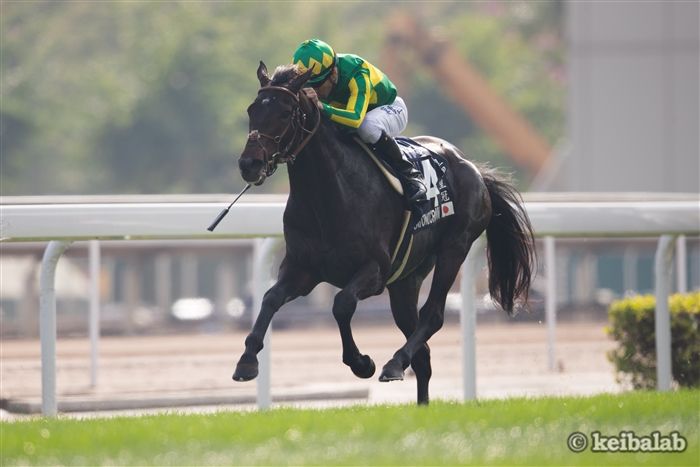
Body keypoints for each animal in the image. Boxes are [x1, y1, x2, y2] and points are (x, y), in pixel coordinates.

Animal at [233, 61, 535, 405]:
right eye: (252, 109)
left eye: (285, 113)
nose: (249, 164)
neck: (329, 196)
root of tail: (472, 167)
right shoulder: (302, 268)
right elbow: (270, 299)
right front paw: (246, 361)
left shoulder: (374, 270)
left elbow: (342, 304)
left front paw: (361, 363)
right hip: (406, 279)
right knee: (423, 354)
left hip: (454, 248)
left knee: (433, 315)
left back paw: (393, 363)